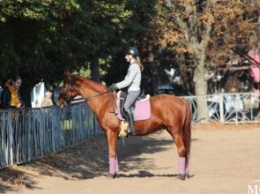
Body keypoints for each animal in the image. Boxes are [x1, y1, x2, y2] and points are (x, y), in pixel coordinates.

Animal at [57, 73, 191, 180]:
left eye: (65, 86)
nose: (59, 103)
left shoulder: (110, 132)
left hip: (175, 131)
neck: (105, 103)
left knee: (182, 150)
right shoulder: (111, 134)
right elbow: (114, 152)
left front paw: (111, 175)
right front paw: (115, 173)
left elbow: (111, 153)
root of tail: (182, 101)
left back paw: (181, 175)